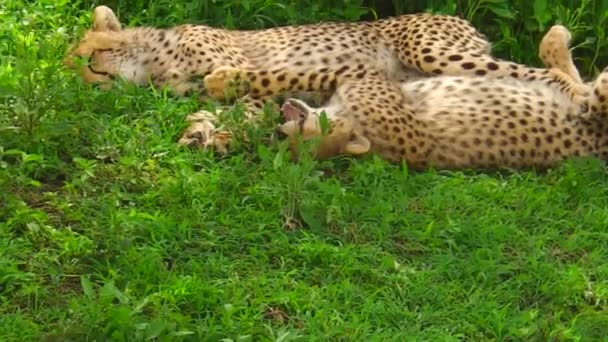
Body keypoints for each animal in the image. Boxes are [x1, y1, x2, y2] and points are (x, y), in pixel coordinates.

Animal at [65, 5, 588, 152]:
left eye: (88, 60)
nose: (88, 86)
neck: (153, 62)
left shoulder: (237, 64)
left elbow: (247, 90)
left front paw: (223, 130)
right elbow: (232, 109)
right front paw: (205, 132)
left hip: (431, 49)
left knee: (544, 72)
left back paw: (575, 85)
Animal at [272, 25, 608, 170]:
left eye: (301, 133)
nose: (280, 130)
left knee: (576, 81)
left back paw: (557, 39)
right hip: (600, 100)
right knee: (588, 87)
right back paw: (559, 39)